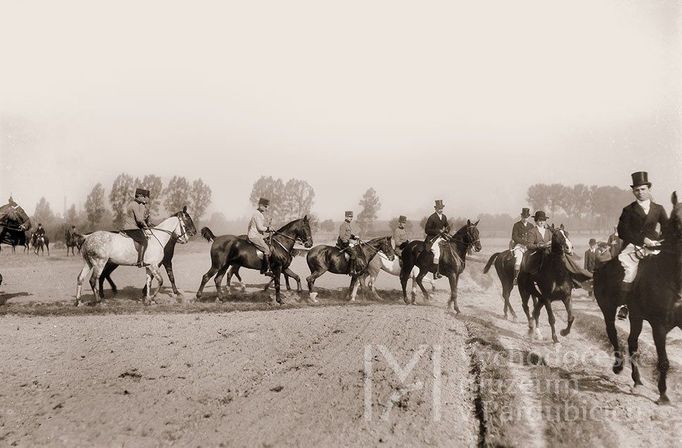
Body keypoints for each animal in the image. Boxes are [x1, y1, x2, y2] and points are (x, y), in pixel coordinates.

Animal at [588, 191, 680, 404]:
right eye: (677, 219)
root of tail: (601, 266)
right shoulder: (658, 326)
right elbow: (663, 361)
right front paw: (663, 395)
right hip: (608, 308)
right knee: (613, 333)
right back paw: (618, 366)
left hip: (637, 316)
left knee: (632, 343)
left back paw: (637, 379)